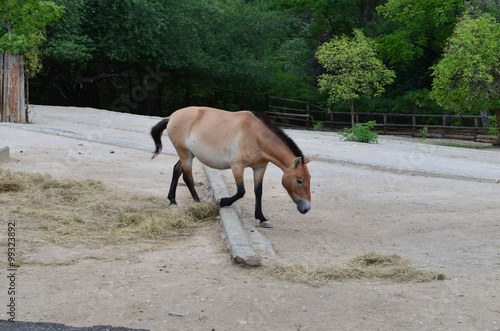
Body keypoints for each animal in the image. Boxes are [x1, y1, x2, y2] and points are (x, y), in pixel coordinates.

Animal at [150, 107, 318, 228]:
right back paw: (198, 204)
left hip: (187, 154)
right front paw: (222, 201)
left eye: (309, 179)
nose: (306, 208)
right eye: (299, 180)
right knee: (187, 177)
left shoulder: (260, 167)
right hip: (186, 155)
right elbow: (241, 191)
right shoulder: (237, 167)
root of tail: (172, 117)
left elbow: (258, 192)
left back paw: (172, 201)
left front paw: (262, 218)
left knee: (176, 170)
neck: (256, 137)